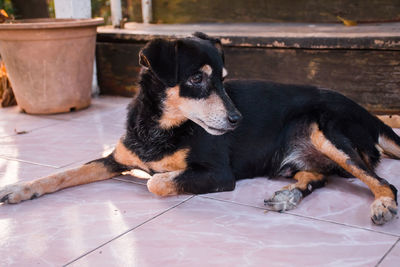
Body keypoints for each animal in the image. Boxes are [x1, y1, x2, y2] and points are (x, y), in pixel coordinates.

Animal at [0, 33, 398, 226]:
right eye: (196, 79)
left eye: (223, 80)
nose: (238, 119)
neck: (157, 129)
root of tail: (369, 114)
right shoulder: (115, 159)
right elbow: (63, 174)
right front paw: (20, 188)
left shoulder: (219, 174)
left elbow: (156, 182)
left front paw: (160, 175)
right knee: (317, 176)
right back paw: (288, 196)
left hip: (326, 131)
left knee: (383, 182)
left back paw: (382, 205)